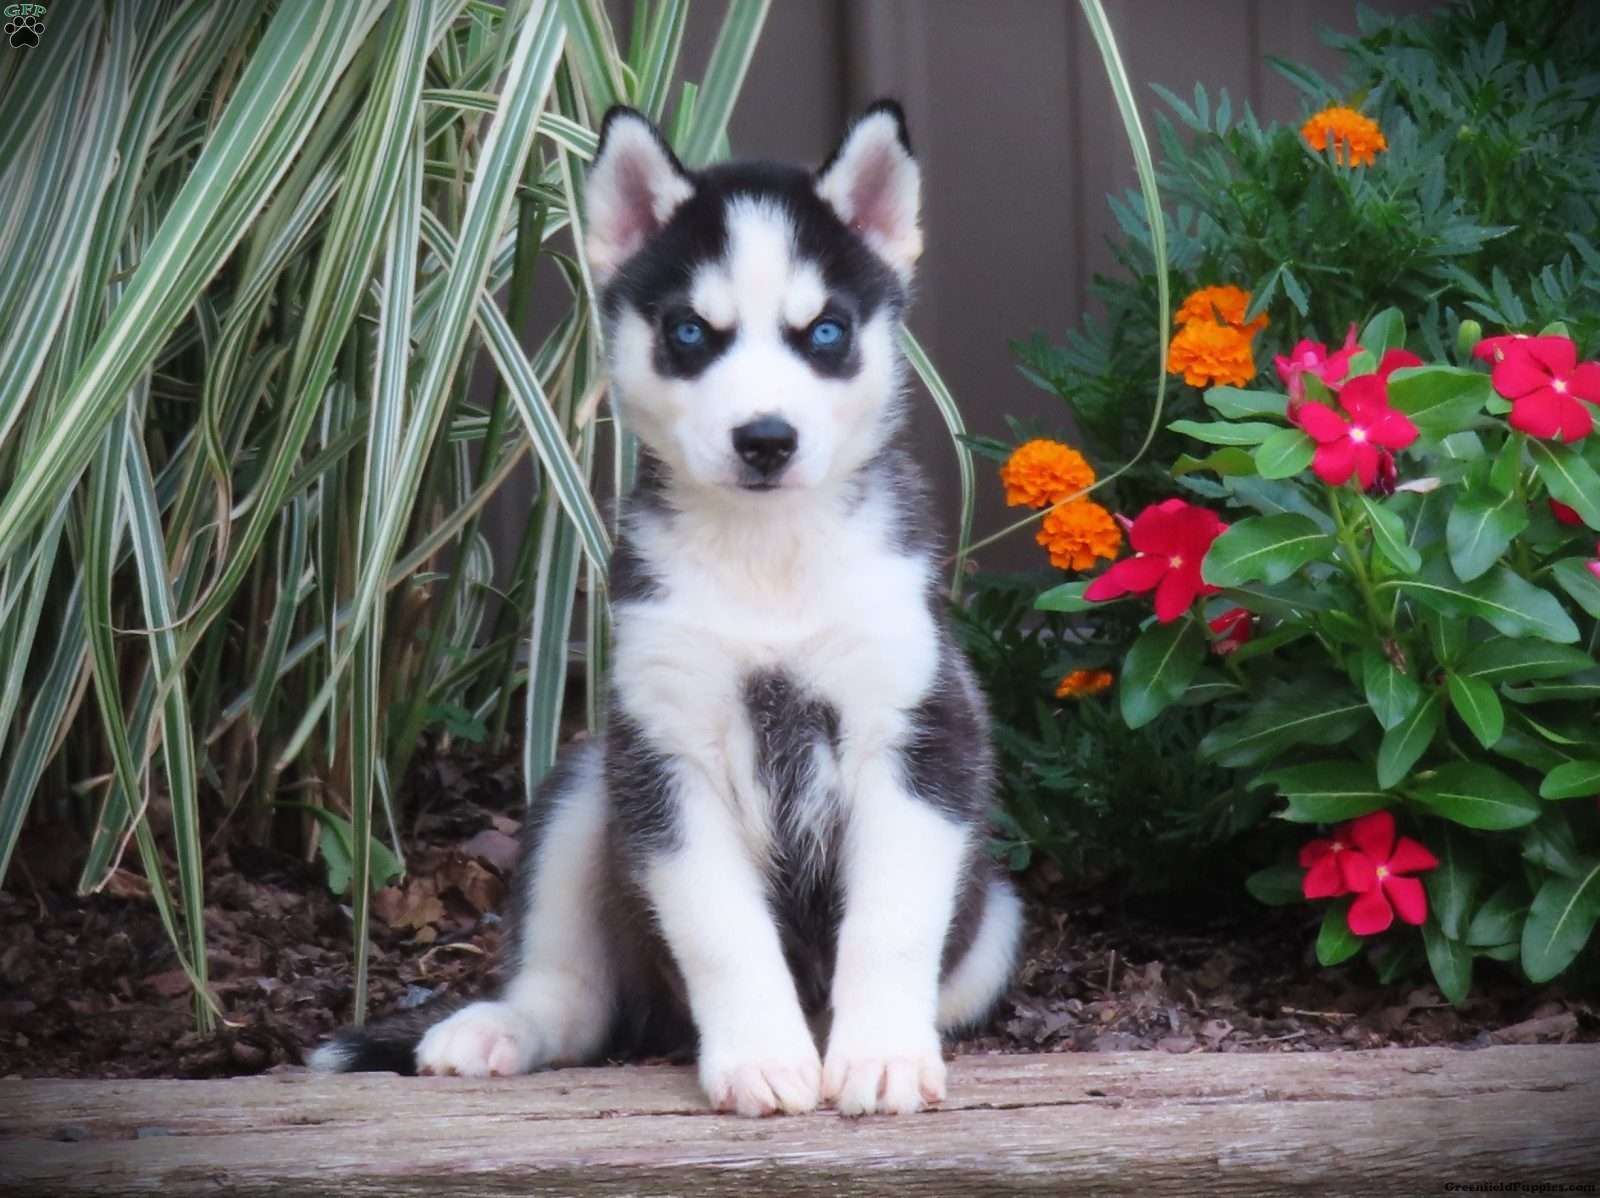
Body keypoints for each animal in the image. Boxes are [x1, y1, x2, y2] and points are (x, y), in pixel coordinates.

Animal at [305, 100, 1017, 1113]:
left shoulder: (919, 736)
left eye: (825, 332)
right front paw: (761, 1055)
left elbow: (889, 921)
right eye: (689, 332)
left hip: (993, 929)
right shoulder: (665, 757)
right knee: (576, 1000)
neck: (769, 559)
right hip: (586, 786)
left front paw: (879, 1055)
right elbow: (722, 930)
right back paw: (496, 1028)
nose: (765, 439)